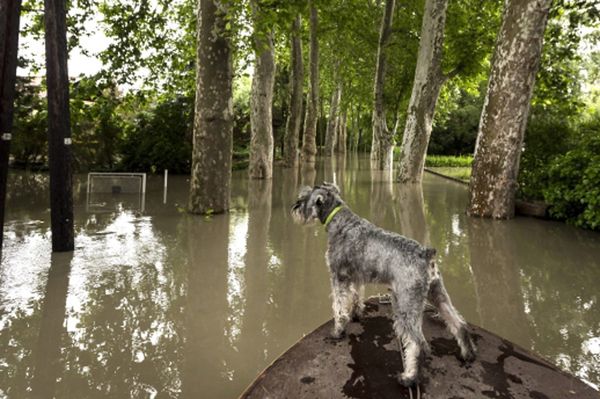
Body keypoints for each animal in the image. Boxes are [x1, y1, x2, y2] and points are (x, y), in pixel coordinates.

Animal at [292, 183, 478, 386]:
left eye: (304, 197)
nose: (295, 207)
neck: (339, 220)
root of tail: (426, 254)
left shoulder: (338, 277)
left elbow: (339, 308)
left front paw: (338, 330)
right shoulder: (356, 277)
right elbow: (356, 296)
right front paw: (356, 314)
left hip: (406, 305)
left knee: (417, 342)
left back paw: (409, 377)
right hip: (438, 294)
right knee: (458, 322)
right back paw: (467, 354)